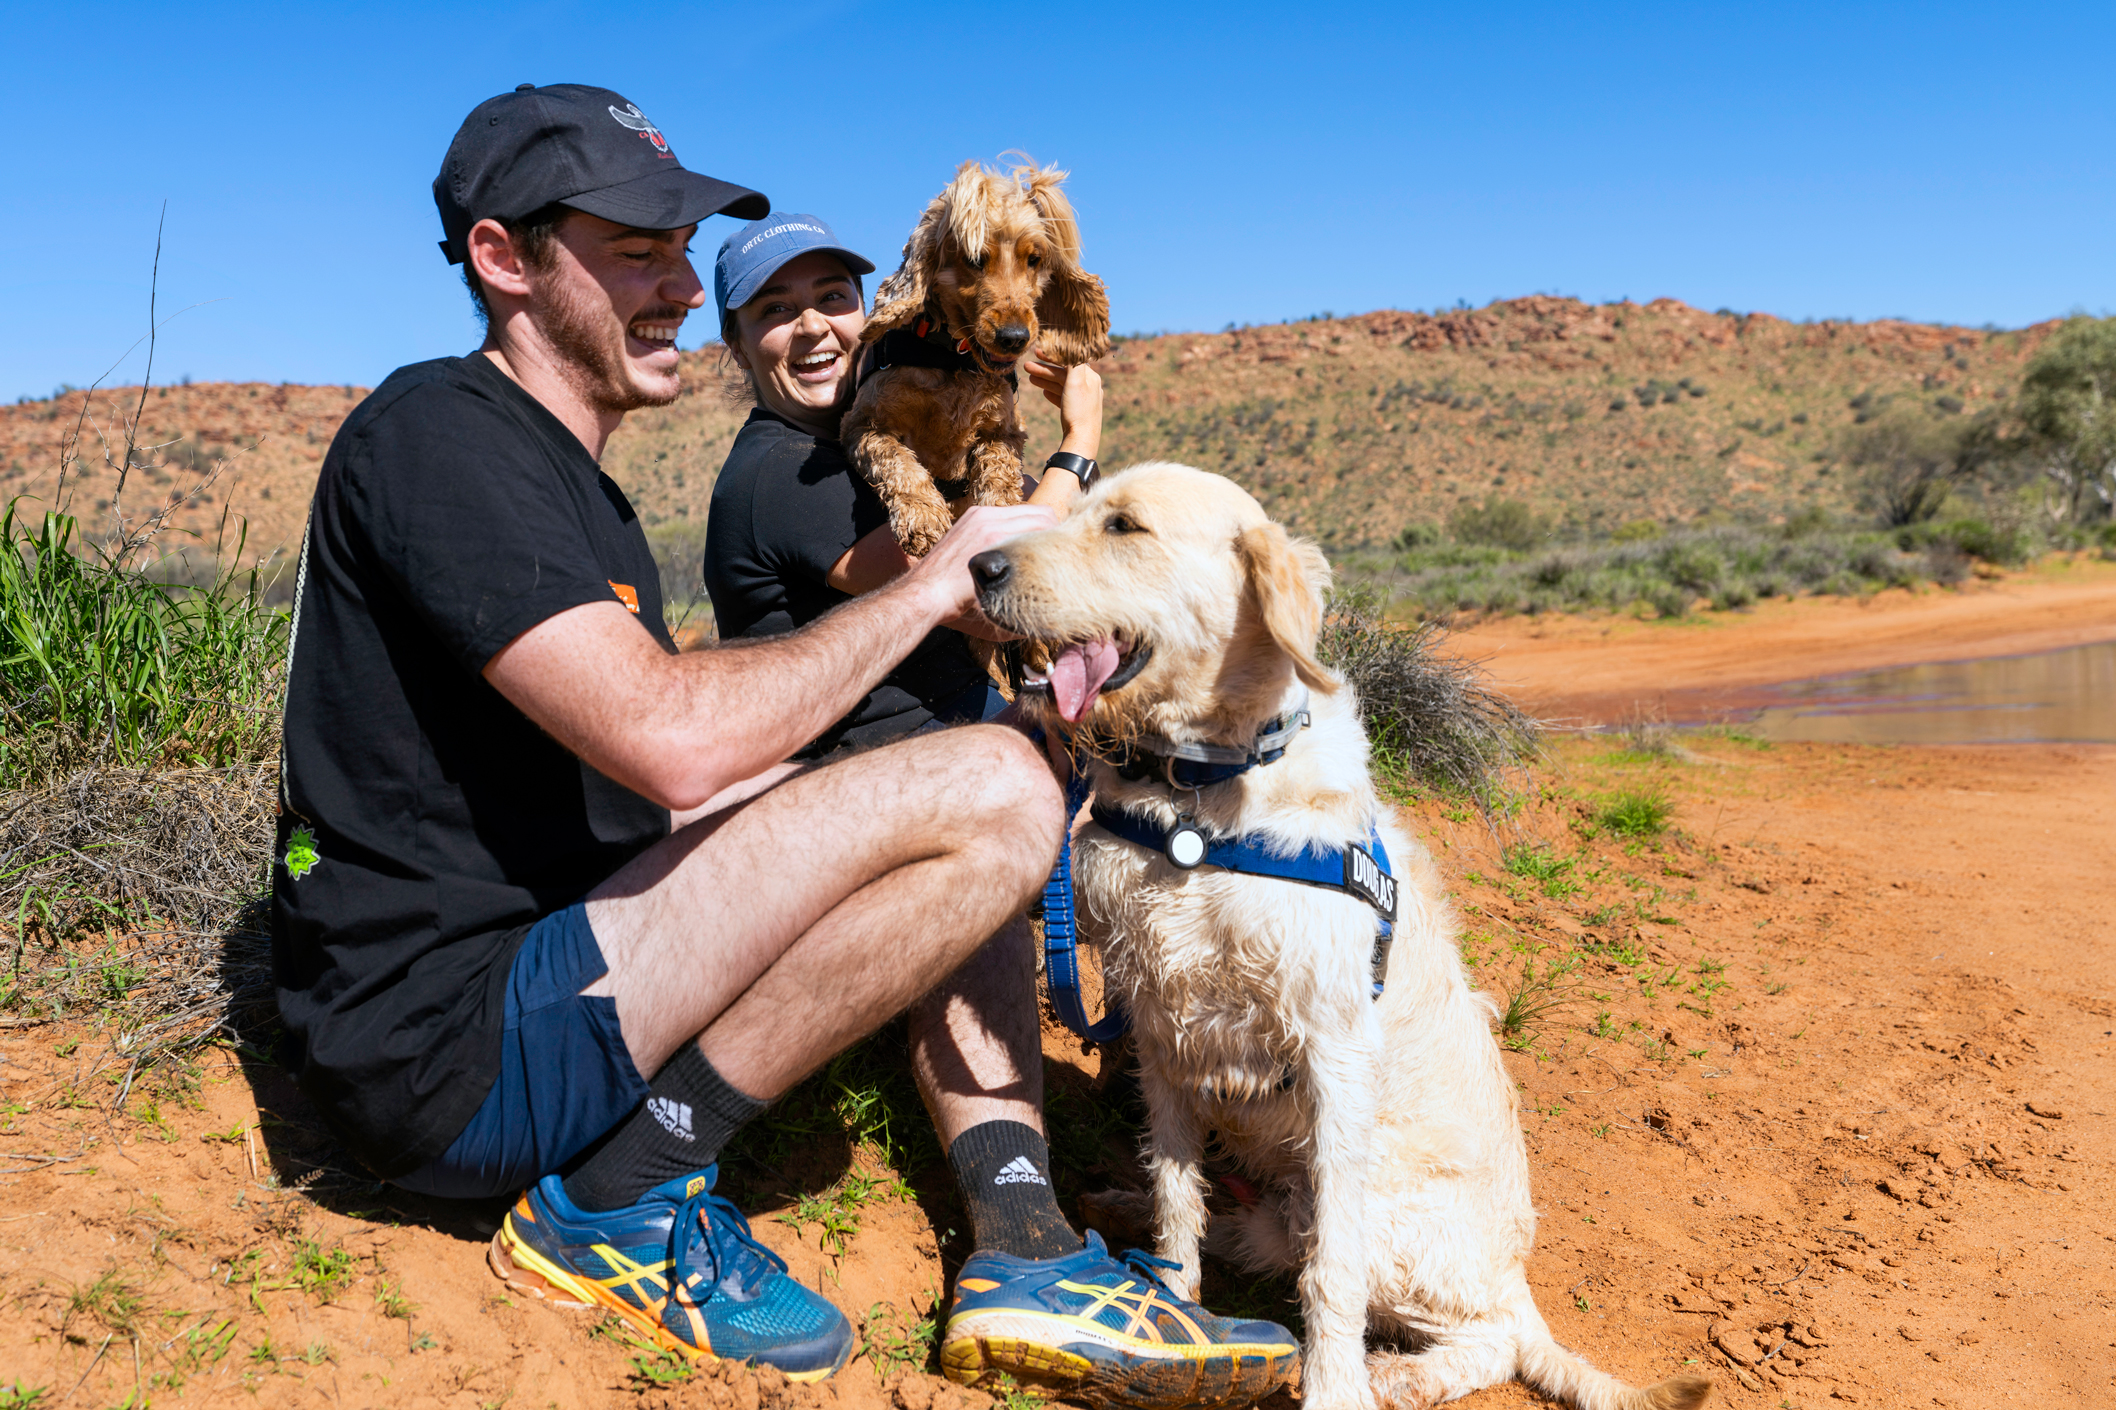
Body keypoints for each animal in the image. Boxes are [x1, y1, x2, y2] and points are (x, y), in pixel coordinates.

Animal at [969, 465, 1709, 1405]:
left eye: (1125, 526)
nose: (979, 566)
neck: (1199, 801)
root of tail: (1516, 1281)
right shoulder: (1162, 1035)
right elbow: (1177, 1199)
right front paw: (1175, 1301)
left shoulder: (1331, 1052)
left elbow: (1333, 1273)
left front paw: (1330, 1387)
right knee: (1238, 1226)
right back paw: (1127, 1210)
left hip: (1399, 1230)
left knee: (1487, 1341)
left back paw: (1393, 1375)